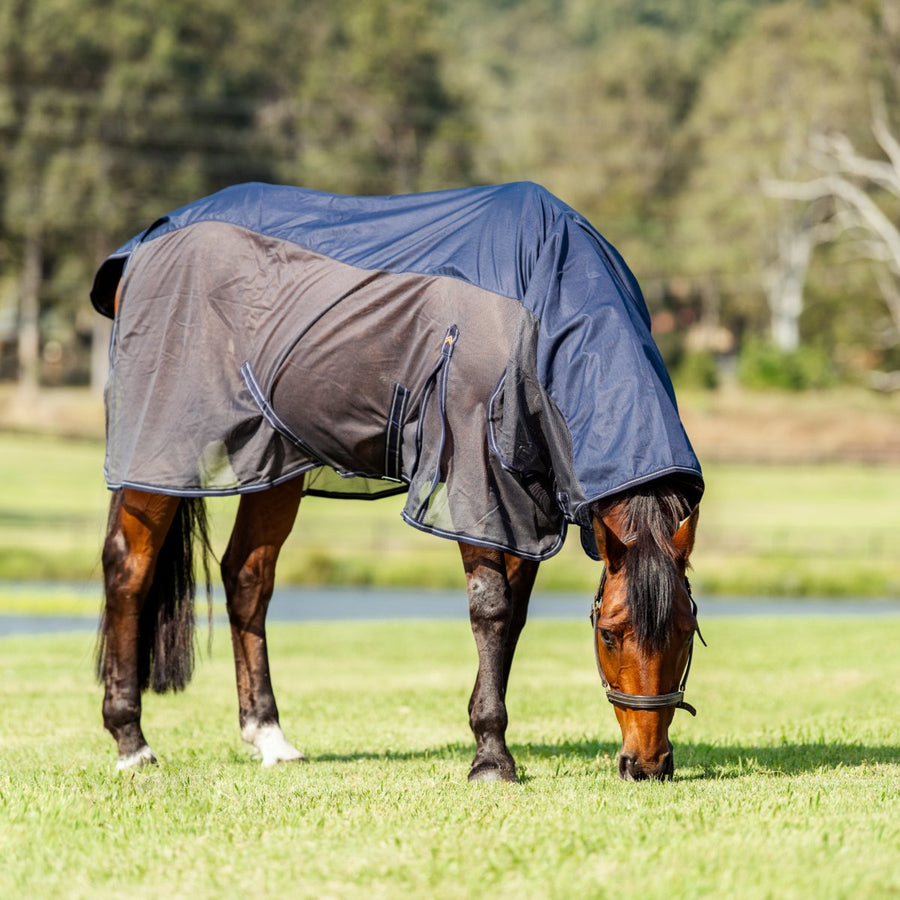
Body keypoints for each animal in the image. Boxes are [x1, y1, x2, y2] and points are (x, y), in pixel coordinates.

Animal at [91, 181, 704, 781]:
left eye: (686, 629)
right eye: (609, 633)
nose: (647, 764)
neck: (542, 308)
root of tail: (145, 243)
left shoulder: (527, 506)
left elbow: (513, 617)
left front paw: (488, 738)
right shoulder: (472, 484)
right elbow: (491, 608)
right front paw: (491, 758)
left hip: (274, 460)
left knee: (247, 577)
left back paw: (270, 738)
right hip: (160, 447)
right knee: (129, 568)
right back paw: (132, 743)